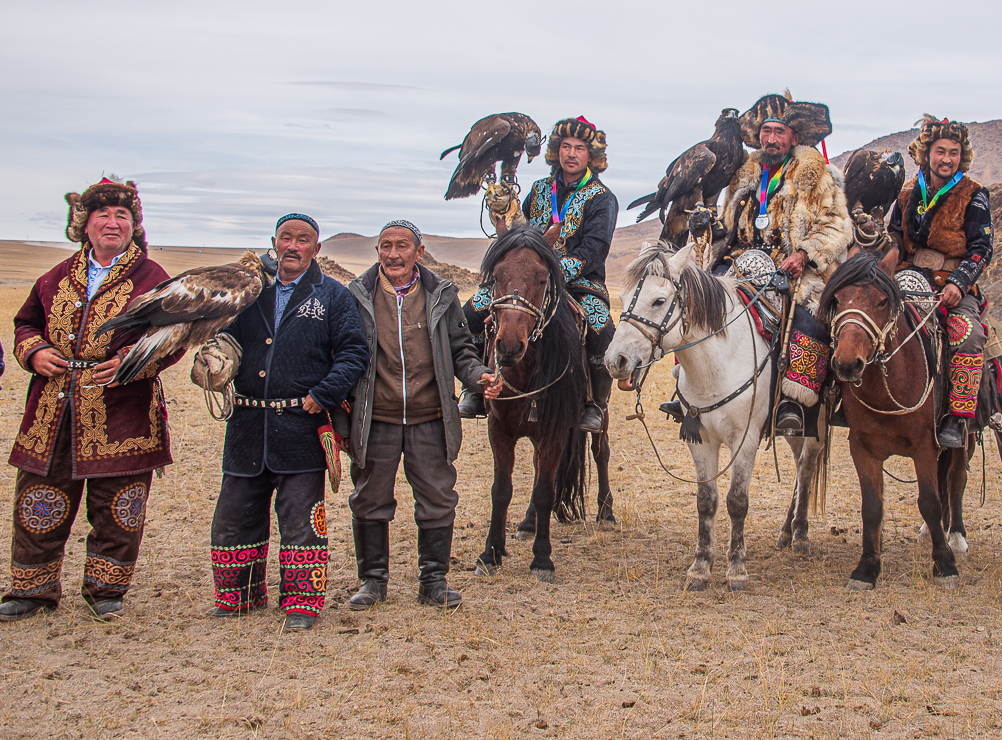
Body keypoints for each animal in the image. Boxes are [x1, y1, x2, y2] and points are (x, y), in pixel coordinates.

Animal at [474, 228, 613, 580]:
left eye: (540, 279)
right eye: (497, 275)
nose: (509, 346)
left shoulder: (554, 431)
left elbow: (545, 492)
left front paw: (542, 559)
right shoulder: (499, 429)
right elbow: (502, 490)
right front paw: (490, 554)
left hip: (600, 414)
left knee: (600, 453)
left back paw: (606, 512)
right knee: (539, 469)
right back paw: (527, 523)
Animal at [605, 243, 825, 588]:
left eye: (659, 301)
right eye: (625, 299)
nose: (616, 361)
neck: (716, 365)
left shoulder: (744, 440)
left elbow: (737, 501)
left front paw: (736, 568)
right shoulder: (700, 439)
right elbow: (706, 501)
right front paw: (700, 567)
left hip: (819, 420)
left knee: (806, 468)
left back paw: (801, 536)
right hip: (794, 429)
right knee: (800, 462)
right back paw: (786, 532)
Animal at [817, 251, 973, 592]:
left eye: (881, 302)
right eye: (838, 299)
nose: (847, 364)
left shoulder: (925, 445)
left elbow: (929, 501)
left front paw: (945, 565)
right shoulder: (862, 447)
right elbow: (872, 506)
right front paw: (866, 568)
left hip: (965, 435)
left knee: (956, 481)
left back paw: (956, 538)